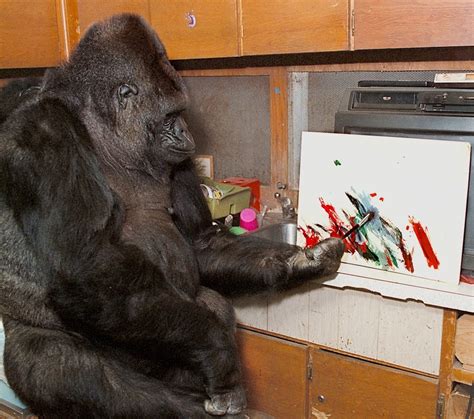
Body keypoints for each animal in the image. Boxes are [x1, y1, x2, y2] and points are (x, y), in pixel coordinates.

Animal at [0, 13, 342, 419]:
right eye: (171, 114)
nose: (186, 131)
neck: (100, 130)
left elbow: (199, 243)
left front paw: (301, 263)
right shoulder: (43, 132)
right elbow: (89, 267)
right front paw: (219, 354)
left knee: (211, 305)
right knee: (63, 364)